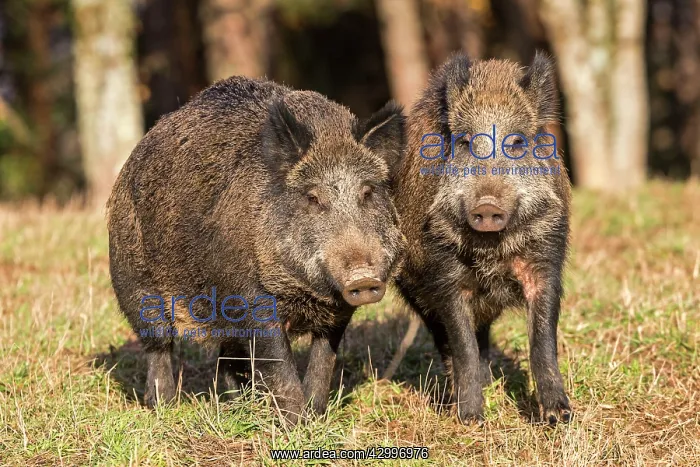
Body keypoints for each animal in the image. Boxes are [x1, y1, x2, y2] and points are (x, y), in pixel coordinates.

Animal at [107, 76, 406, 424]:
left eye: (368, 192)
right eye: (312, 197)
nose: (363, 278)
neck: (304, 295)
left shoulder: (338, 311)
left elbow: (323, 361)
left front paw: (315, 416)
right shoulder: (249, 297)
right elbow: (278, 361)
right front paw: (296, 424)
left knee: (228, 356)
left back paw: (236, 405)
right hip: (133, 282)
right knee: (159, 344)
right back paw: (163, 407)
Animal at [392, 52, 572, 425]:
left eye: (516, 142)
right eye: (464, 142)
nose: (487, 206)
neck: (493, 251)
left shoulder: (546, 256)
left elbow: (543, 338)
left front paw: (558, 417)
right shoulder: (443, 274)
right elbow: (462, 345)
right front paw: (471, 419)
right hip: (414, 291)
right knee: (447, 341)